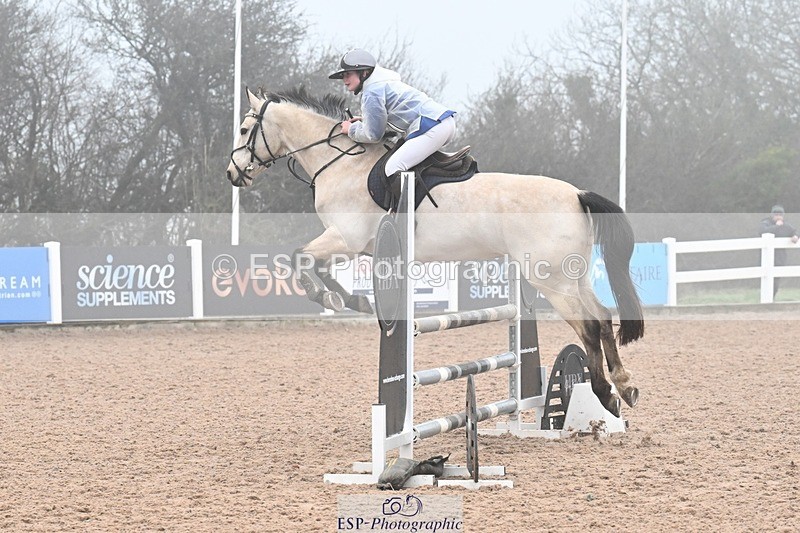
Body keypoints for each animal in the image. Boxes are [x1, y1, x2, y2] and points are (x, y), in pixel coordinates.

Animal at [226, 87, 644, 417]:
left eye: (245, 129)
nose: (232, 174)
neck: (342, 164)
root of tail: (576, 194)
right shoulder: (353, 246)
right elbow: (315, 263)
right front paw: (349, 299)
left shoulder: (346, 238)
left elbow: (299, 257)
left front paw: (330, 297)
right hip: (573, 276)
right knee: (603, 317)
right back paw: (623, 386)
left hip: (552, 281)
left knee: (589, 325)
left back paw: (605, 393)